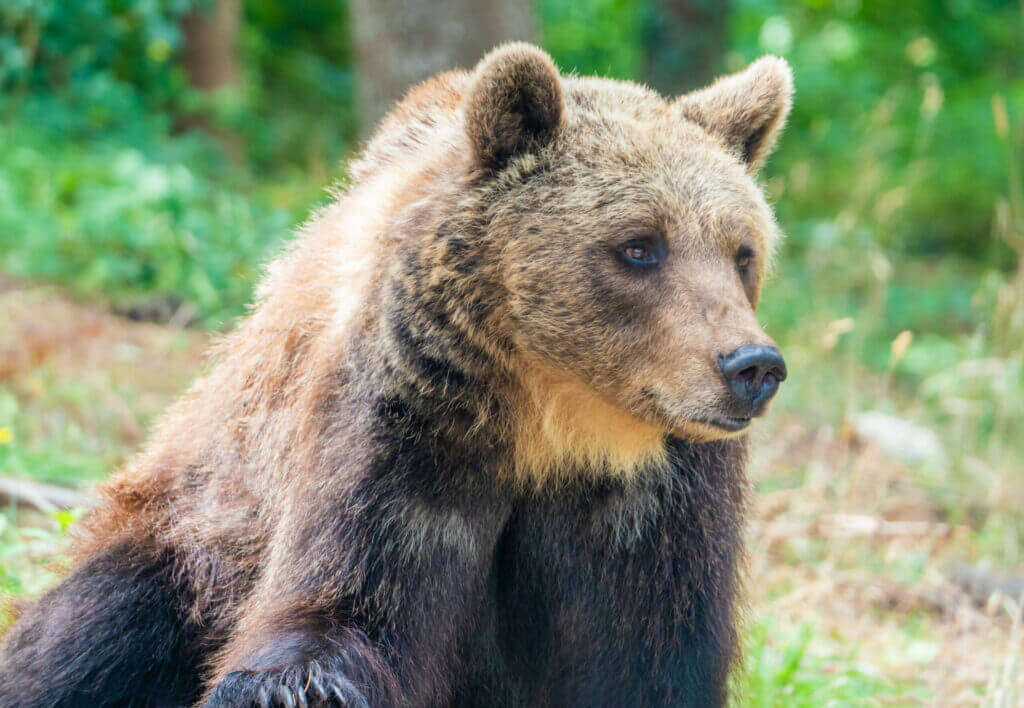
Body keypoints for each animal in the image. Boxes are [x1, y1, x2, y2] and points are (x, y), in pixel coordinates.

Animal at [0, 44, 790, 708]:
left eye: (742, 251)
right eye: (639, 245)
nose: (752, 365)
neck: (552, 423)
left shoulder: (655, 501)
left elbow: (647, 655)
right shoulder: (406, 431)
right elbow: (345, 609)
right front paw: (290, 689)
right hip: (192, 531)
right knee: (94, 632)